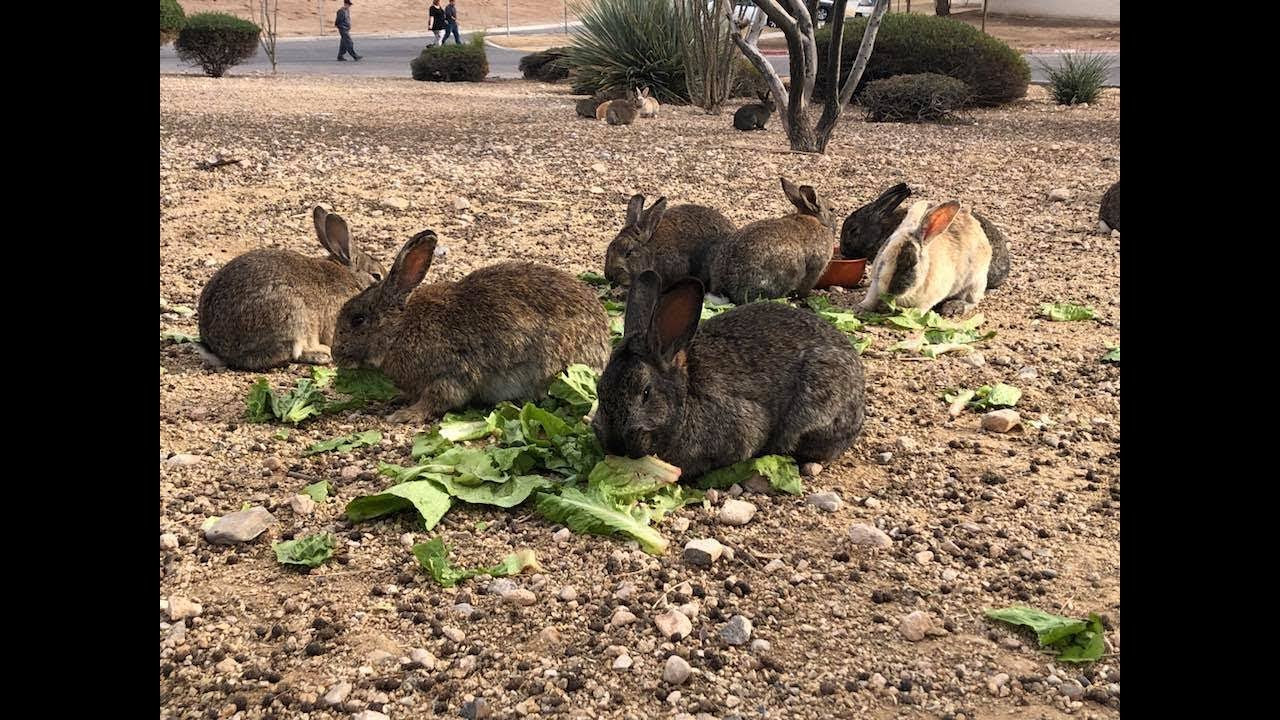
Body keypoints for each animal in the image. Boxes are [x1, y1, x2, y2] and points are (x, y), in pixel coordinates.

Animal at [332, 230, 612, 423]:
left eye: (358, 320)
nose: (335, 355)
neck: (400, 327)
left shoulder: (449, 374)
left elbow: (437, 399)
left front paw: (405, 415)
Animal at [858, 199, 1009, 317]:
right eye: (882, 258)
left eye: (912, 263)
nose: (889, 292)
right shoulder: (875, 286)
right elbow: (871, 298)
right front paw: (862, 308)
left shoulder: (929, 298)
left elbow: (921, 309)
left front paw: (910, 315)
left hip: (975, 282)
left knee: (971, 301)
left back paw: (952, 307)